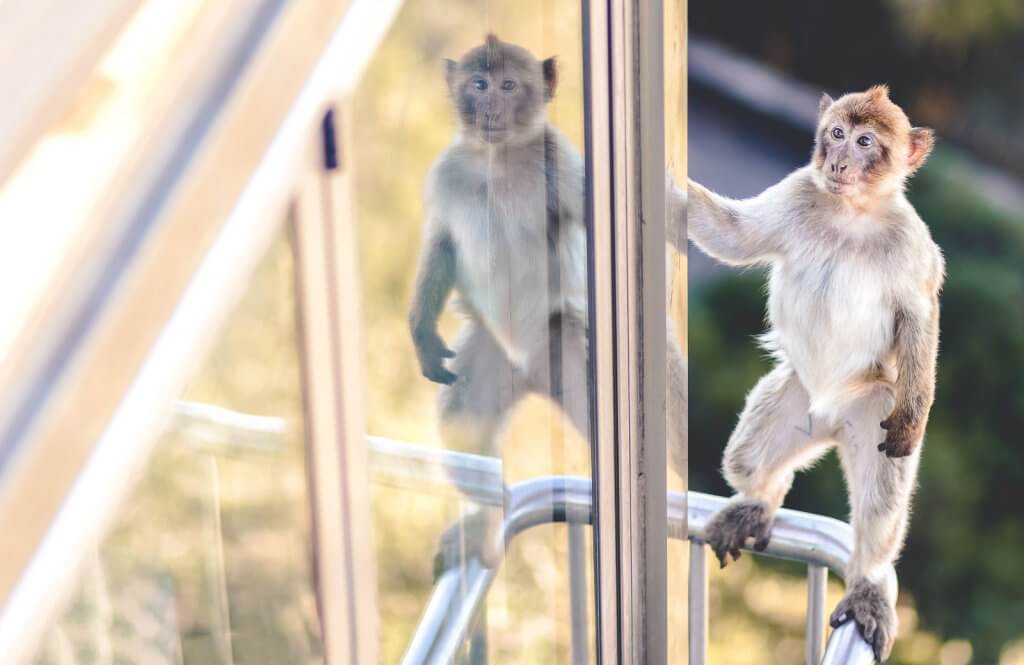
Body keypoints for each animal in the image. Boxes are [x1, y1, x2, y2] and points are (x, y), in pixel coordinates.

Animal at [409, 34, 688, 572]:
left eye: (508, 85)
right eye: (479, 84)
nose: (490, 108)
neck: (499, 159)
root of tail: (533, 369)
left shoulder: (562, 167)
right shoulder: (447, 173)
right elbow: (443, 245)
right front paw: (422, 333)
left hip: (572, 349)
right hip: (493, 355)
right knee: (463, 422)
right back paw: (487, 517)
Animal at [687, 85, 942, 662]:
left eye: (865, 141)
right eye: (837, 133)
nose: (838, 160)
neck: (851, 211)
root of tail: (829, 416)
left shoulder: (910, 245)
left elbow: (919, 317)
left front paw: (915, 414)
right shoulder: (797, 192)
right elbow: (732, 235)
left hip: (870, 407)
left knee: (880, 505)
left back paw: (869, 578)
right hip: (794, 398)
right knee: (747, 458)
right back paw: (759, 500)